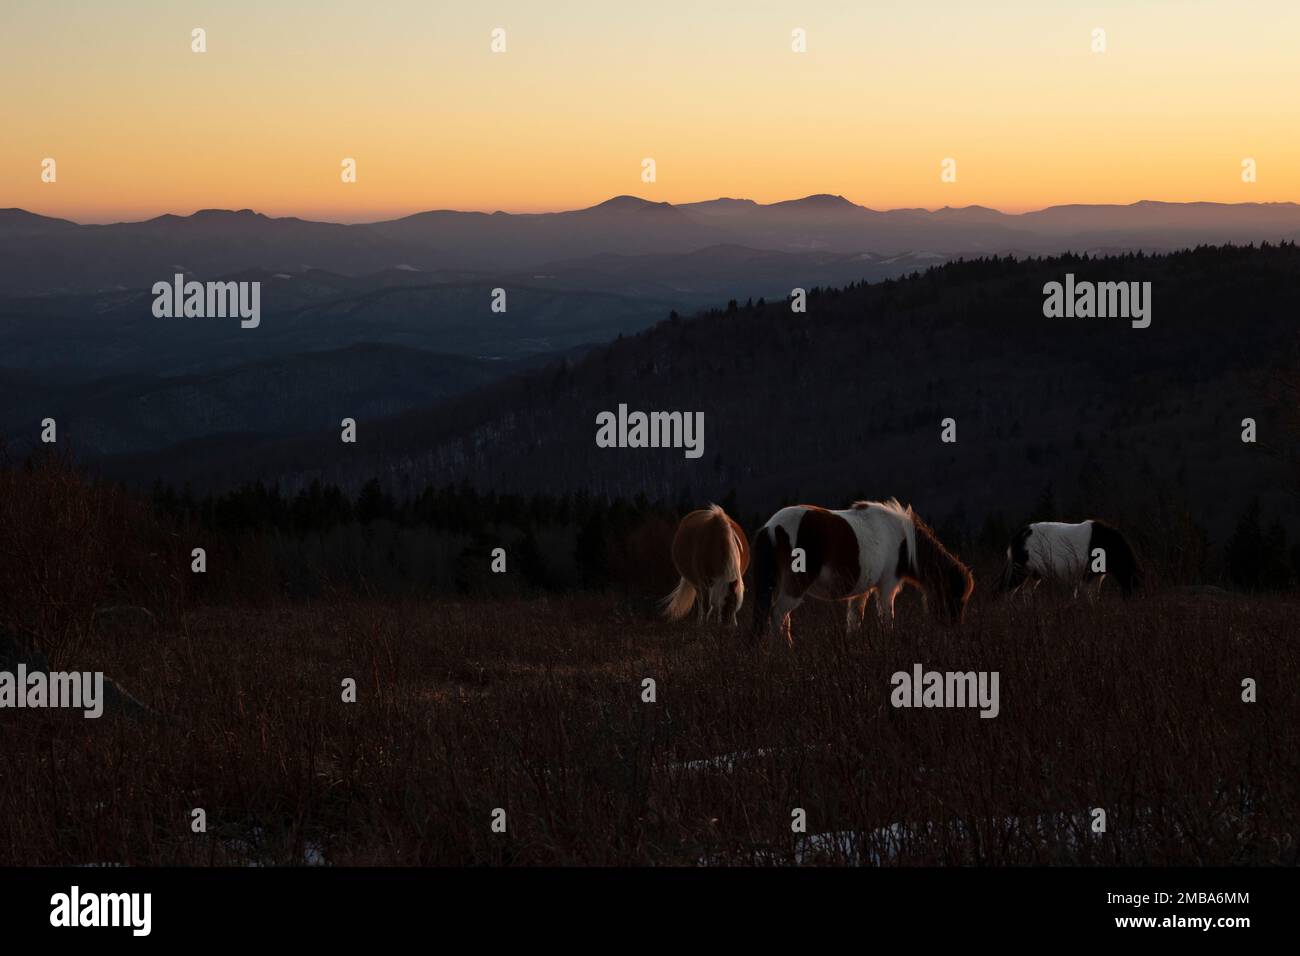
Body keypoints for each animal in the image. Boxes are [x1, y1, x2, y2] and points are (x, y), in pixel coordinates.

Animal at [660, 504, 754, 632]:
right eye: (724, 602)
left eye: (734, 604)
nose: (726, 627)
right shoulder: (703, 581)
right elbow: (706, 604)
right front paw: (703, 624)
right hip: (696, 583)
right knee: (701, 600)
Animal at [748, 496, 972, 647]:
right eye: (956, 597)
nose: (955, 632)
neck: (904, 543)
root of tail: (772, 527)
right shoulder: (887, 586)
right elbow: (886, 617)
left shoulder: (862, 591)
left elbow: (855, 620)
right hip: (795, 586)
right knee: (778, 615)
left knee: (779, 617)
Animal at [998, 520, 1144, 600]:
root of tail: (1018, 536)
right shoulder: (1087, 574)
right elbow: (1088, 595)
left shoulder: (1096, 577)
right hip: (1020, 569)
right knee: (1006, 590)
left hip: (1034, 572)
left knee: (1026, 591)